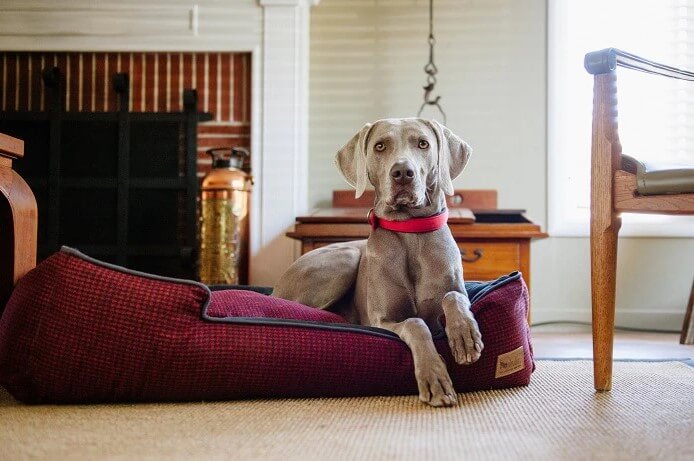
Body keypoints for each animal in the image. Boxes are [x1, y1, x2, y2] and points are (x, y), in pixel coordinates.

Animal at [274, 118, 484, 406]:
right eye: (380, 146)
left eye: (423, 144)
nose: (403, 172)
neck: (411, 233)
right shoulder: (383, 321)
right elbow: (416, 324)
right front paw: (435, 376)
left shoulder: (456, 291)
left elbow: (453, 297)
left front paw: (464, 336)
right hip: (345, 258)